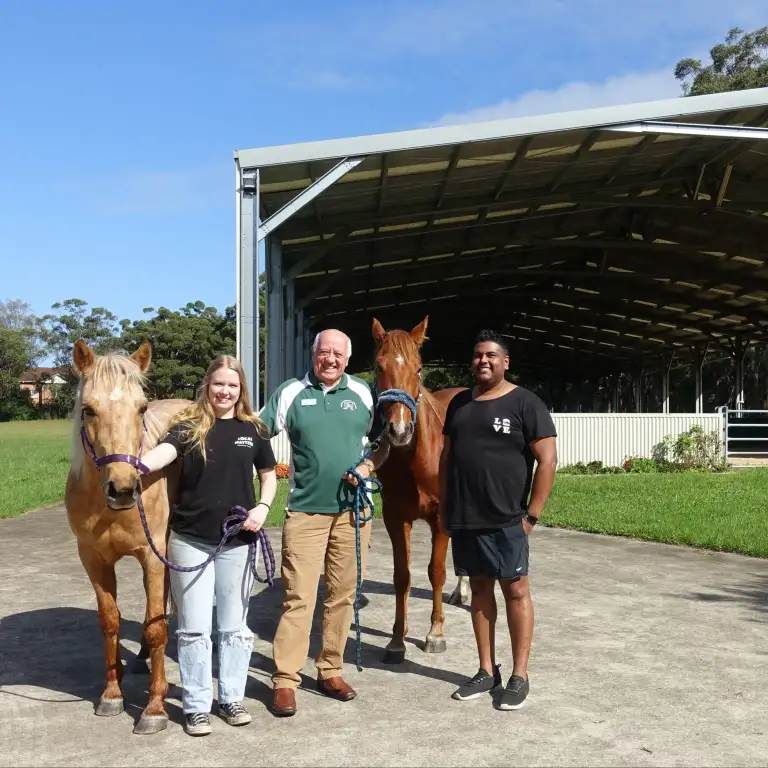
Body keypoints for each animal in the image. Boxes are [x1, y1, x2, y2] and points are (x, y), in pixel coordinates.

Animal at [63, 340, 188, 736]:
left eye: (141, 408)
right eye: (88, 409)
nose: (122, 489)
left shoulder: (152, 554)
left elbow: (156, 627)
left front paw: (154, 708)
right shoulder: (92, 558)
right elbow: (110, 621)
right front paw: (112, 692)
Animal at [370, 316, 472, 664]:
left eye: (418, 368)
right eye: (378, 367)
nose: (399, 431)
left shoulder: (440, 517)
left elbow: (436, 572)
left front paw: (435, 634)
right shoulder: (395, 517)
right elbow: (402, 576)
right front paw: (396, 641)